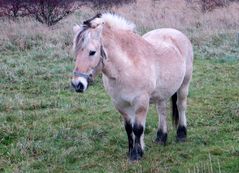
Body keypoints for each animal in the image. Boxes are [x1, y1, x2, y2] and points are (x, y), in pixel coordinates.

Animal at [71, 12, 194, 162]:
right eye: (76, 52)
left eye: (92, 52)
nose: (77, 84)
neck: (126, 67)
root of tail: (175, 32)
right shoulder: (121, 104)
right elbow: (129, 128)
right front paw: (131, 152)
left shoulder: (141, 102)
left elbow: (138, 128)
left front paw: (136, 154)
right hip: (161, 93)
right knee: (162, 111)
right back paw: (161, 137)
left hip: (184, 85)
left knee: (181, 106)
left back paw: (181, 134)